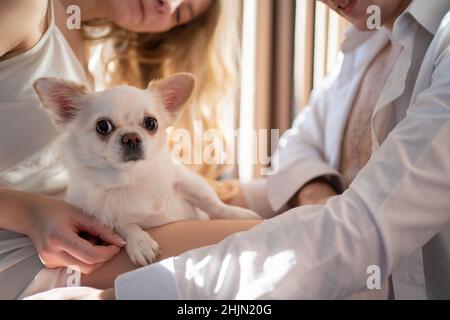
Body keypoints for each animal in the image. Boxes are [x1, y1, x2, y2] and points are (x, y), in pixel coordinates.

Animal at [33, 74, 258, 266]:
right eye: (102, 127)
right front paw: (140, 242)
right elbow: (122, 225)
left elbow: (212, 203)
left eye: (151, 123)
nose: (131, 137)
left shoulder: (185, 180)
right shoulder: (99, 216)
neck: (132, 178)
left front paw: (238, 215)